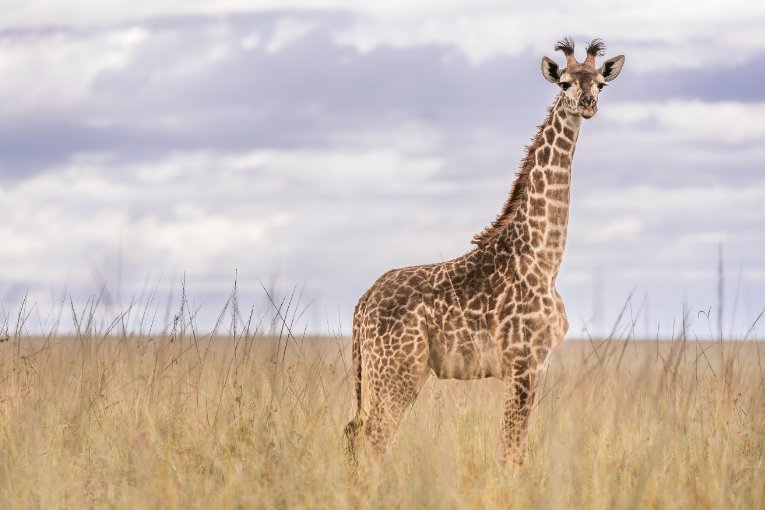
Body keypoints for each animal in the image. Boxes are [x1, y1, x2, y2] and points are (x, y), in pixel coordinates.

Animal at [344, 37, 624, 464]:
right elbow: (511, 450)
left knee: (354, 433)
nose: (588, 103)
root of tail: (361, 306)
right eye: (564, 83)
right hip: (397, 370)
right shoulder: (524, 362)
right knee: (375, 438)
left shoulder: (533, 366)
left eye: (601, 84)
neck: (544, 257)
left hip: (382, 373)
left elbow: (514, 448)